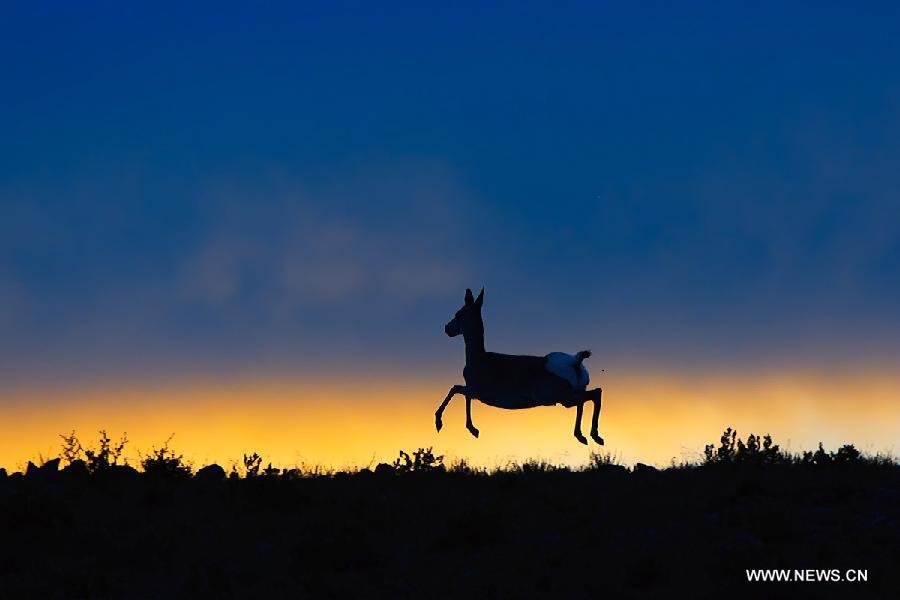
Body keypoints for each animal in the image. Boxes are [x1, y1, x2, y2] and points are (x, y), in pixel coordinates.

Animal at [436, 288, 604, 442]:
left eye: (458, 314)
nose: (446, 328)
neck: (478, 358)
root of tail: (575, 360)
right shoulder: (473, 390)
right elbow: (461, 393)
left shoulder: (476, 391)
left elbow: (457, 390)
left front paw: (449, 424)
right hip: (571, 394)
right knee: (593, 395)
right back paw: (588, 436)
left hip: (560, 397)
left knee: (590, 397)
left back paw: (589, 436)